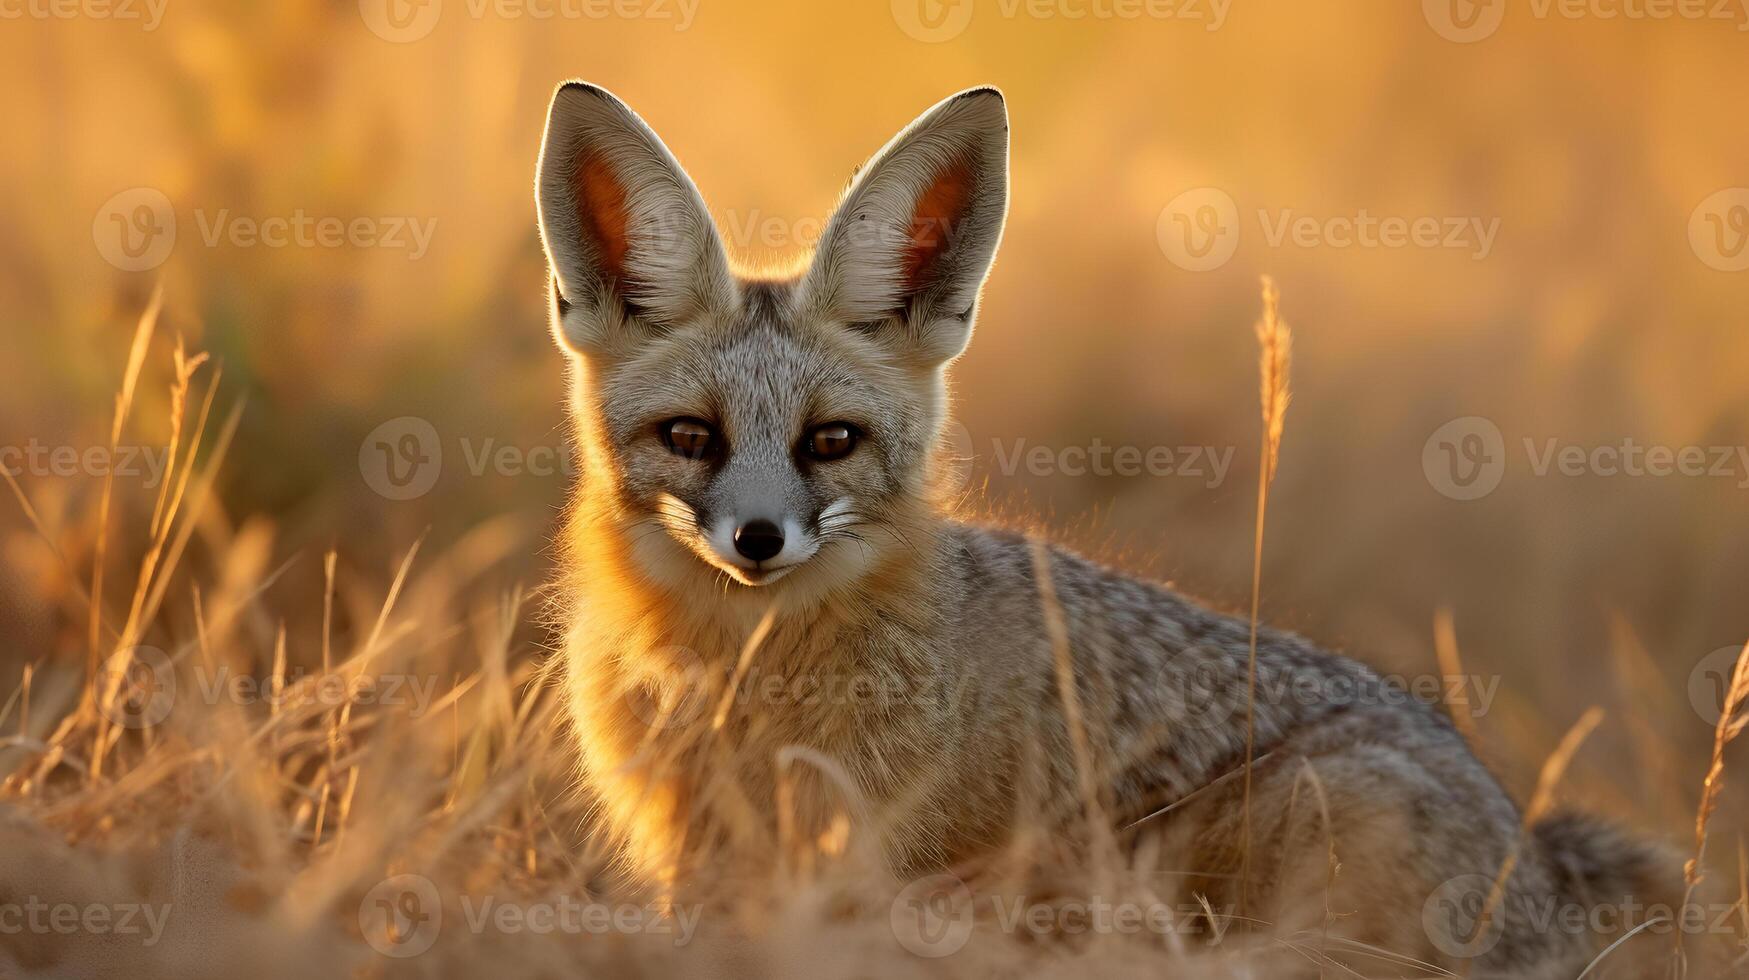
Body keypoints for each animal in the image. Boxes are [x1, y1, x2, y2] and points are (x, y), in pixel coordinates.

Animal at [535, 84, 1693, 980]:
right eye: (691, 437)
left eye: (830, 442)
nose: (760, 538)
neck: (739, 678)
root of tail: (1535, 851)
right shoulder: (699, 862)